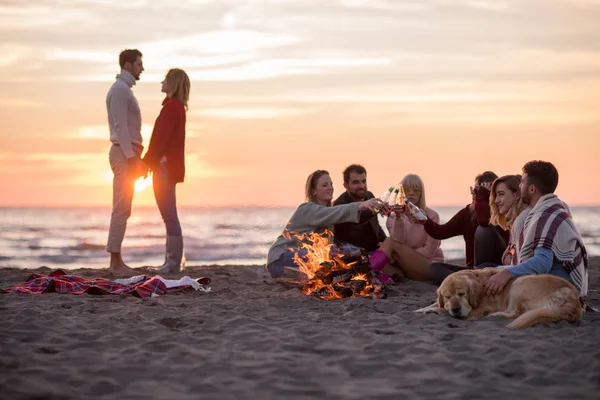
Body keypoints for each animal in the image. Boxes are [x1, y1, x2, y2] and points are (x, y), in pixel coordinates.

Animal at [414, 268, 584, 328]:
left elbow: (443, 310)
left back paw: (496, 315)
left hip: (518, 283)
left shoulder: (475, 311)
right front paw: (422, 309)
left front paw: (433, 311)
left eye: (462, 294)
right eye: (447, 296)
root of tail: (573, 301)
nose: (456, 309)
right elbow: (436, 304)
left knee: (518, 313)